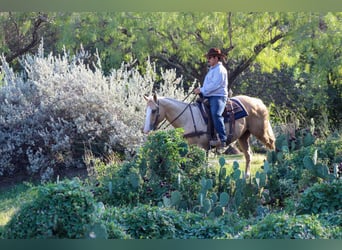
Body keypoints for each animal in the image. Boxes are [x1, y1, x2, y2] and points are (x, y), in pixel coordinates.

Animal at [143, 93, 276, 177]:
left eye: (154, 110)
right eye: (146, 110)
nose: (145, 130)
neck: (187, 118)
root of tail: (258, 102)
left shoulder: (201, 147)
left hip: (261, 132)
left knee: (271, 145)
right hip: (243, 136)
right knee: (248, 155)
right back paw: (246, 176)